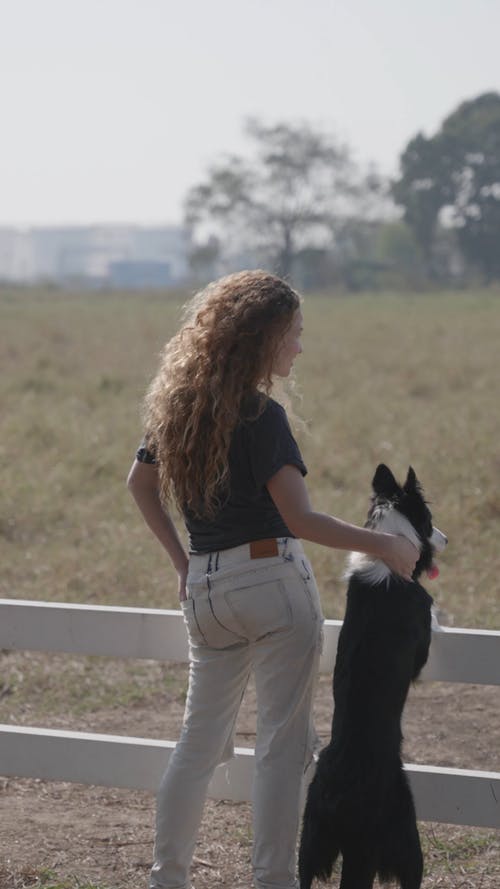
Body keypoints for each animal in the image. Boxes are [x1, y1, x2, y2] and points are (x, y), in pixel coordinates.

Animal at [298, 464, 448, 888]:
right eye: (429, 520)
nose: (446, 538)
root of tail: (337, 790)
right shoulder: (420, 643)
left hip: (310, 841)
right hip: (399, 839)